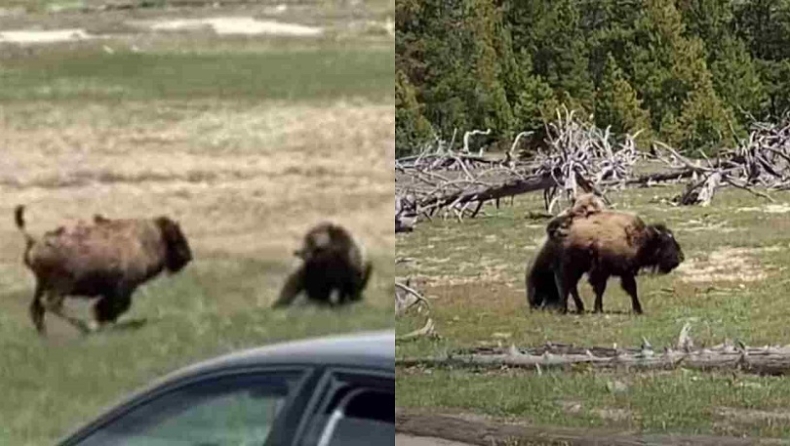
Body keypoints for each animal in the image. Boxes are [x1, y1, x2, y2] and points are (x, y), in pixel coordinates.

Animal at [14, 204, 193, 332]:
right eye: (177, 238)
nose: (188, 256)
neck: (146, 240)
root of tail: (34, 241)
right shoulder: (123, 287)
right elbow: (113, 306)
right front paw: (99, 323)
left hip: (42, 284)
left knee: (36, 308)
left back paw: (44, 334)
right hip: (62, 286)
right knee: (50, 305)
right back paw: (84, 327)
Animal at [528, 209, 684, 314]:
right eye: (665, 241)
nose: (680, 258)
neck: (636, 238)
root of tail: (554, 233)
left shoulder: (624, 272)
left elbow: (631, 289)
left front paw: (637, 310)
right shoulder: (603, 271)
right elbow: (602, 289)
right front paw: (599, 309)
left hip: (576, 270)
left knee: (571, 287)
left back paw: (579, 308)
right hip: (568, 268)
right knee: (565, 286)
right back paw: (564, 309)